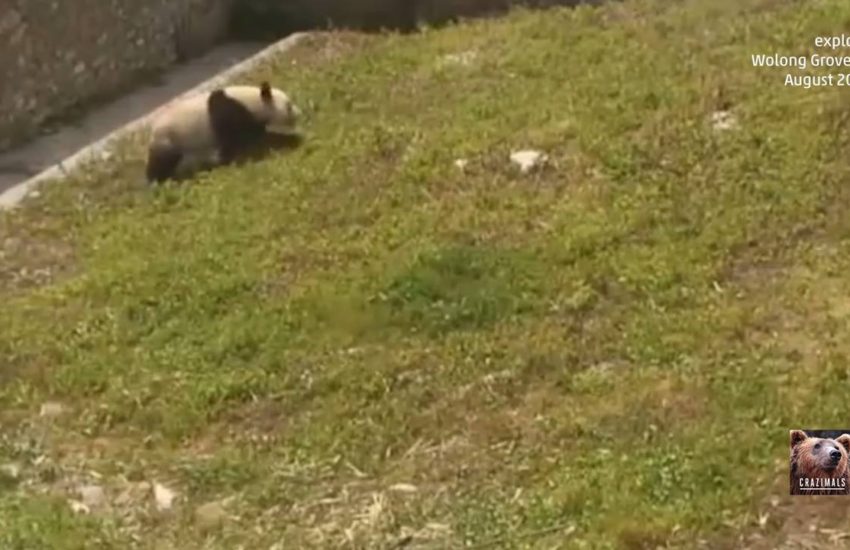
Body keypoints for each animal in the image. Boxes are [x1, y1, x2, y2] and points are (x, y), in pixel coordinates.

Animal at [145, 81, 300, 183]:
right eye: (289, 105)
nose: (299, 113)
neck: (251, 101)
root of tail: (153, 129)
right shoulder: (229, 113)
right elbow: (236, 139)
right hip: (169, 137)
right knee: (162, 161)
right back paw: (156, 180)